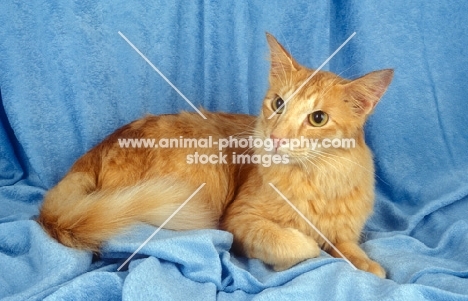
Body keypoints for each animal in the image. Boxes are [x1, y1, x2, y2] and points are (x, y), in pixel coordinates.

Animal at [38, 32, 394, 276]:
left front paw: (367, 265)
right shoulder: (240, 219)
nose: (276, 137)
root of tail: (95, 151)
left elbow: (350, 249)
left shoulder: (345, 231)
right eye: (278, 104)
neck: (315, 180)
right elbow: (290, 243)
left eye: (318, 118)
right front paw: (306, 247)